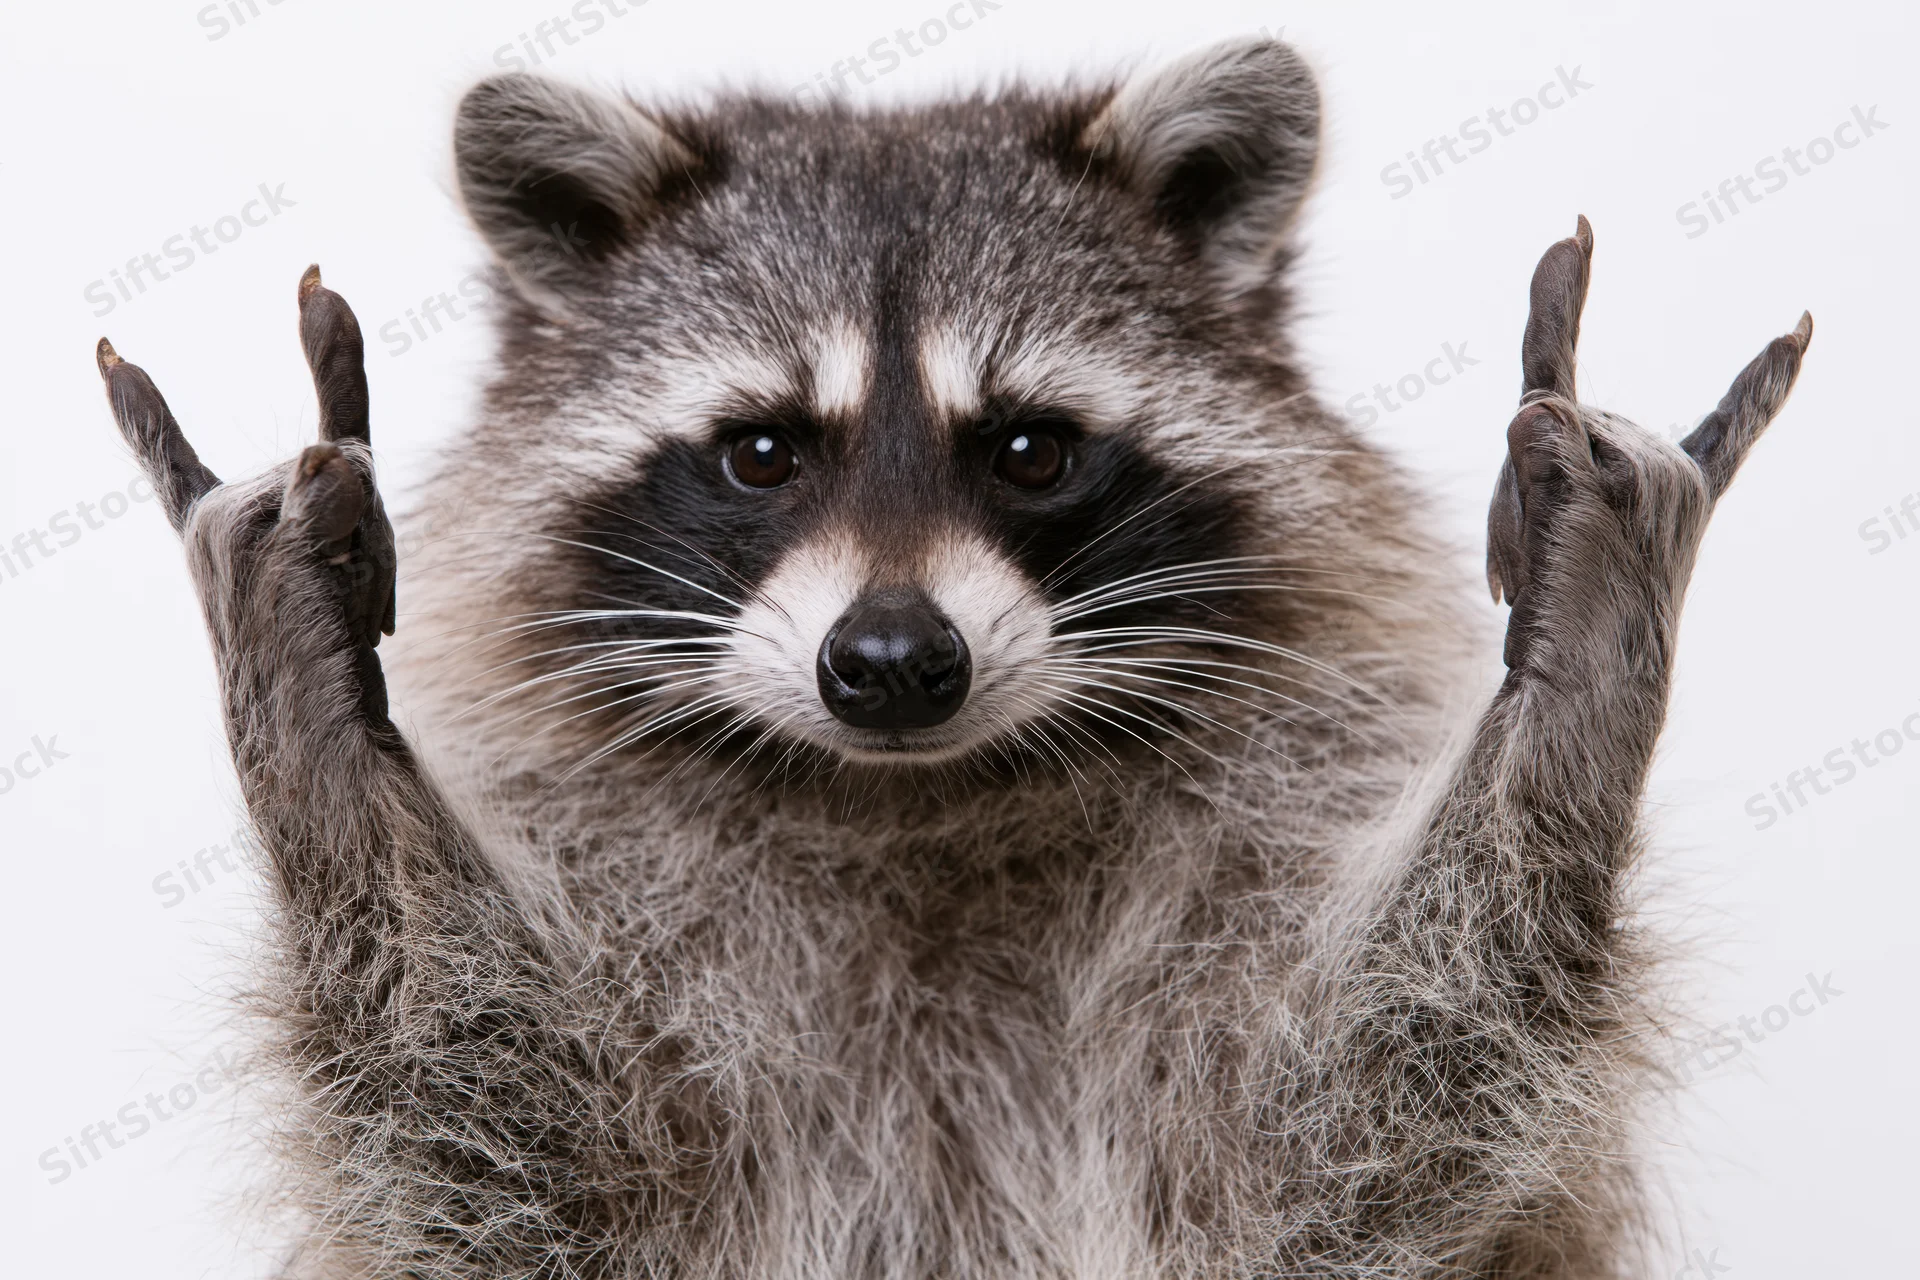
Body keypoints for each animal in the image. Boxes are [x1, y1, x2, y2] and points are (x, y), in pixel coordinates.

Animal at [95, 35, 1811, 1280]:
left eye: (1032, 450)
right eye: (763, 452)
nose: (893, 661)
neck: (914, 800)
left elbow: (1355, 1152)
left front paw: (1571, 679)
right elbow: (512, 1153)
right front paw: (323, 714)